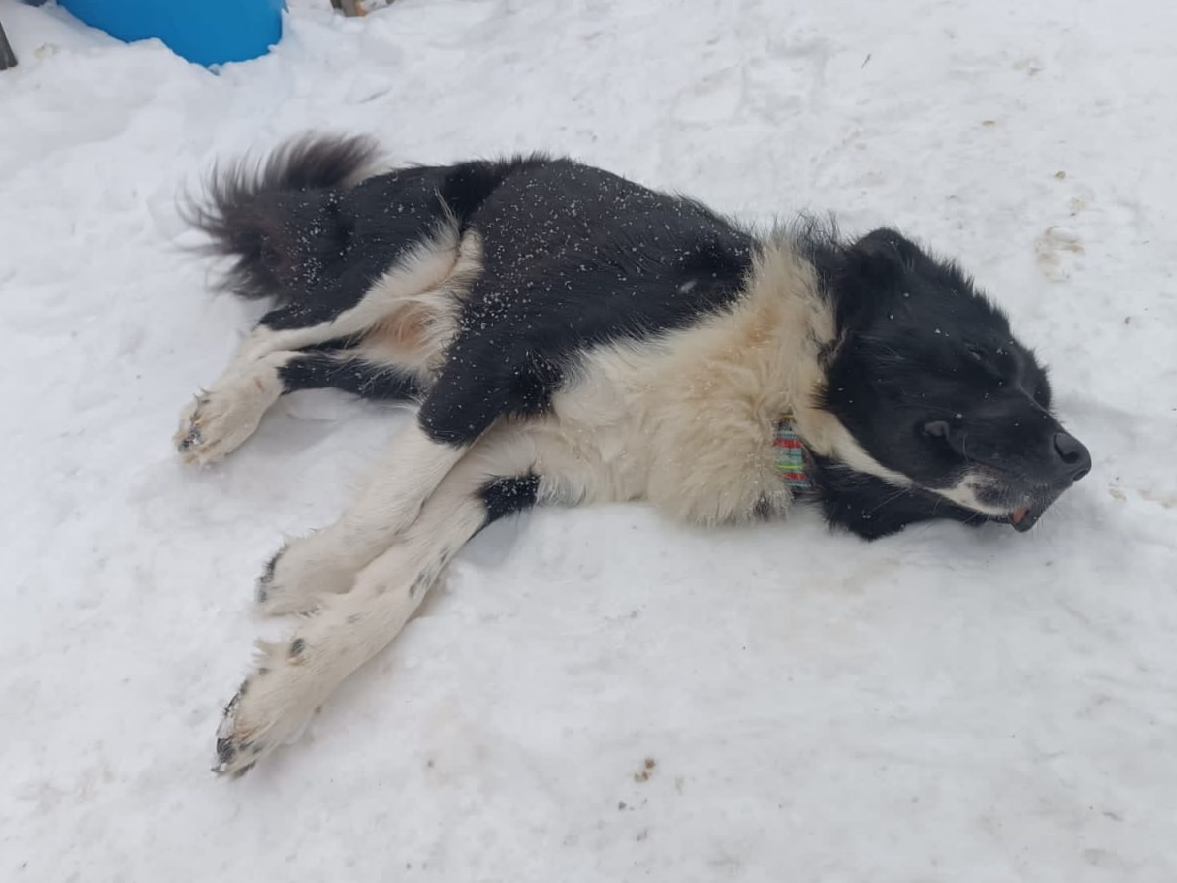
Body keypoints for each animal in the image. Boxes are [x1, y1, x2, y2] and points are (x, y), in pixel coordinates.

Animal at [176, 131, 1092, 772]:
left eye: (1036, 387)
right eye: (993, 361)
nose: (1077, 459)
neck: (774, 398)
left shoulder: (520, 462)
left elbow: (403, 578)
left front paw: (285, 683)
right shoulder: (499, 348)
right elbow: (391, 508)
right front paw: (309, 572)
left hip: (395, 367)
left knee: (295, 360)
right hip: (405, 262)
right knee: (273, 330)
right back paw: (216, 416)